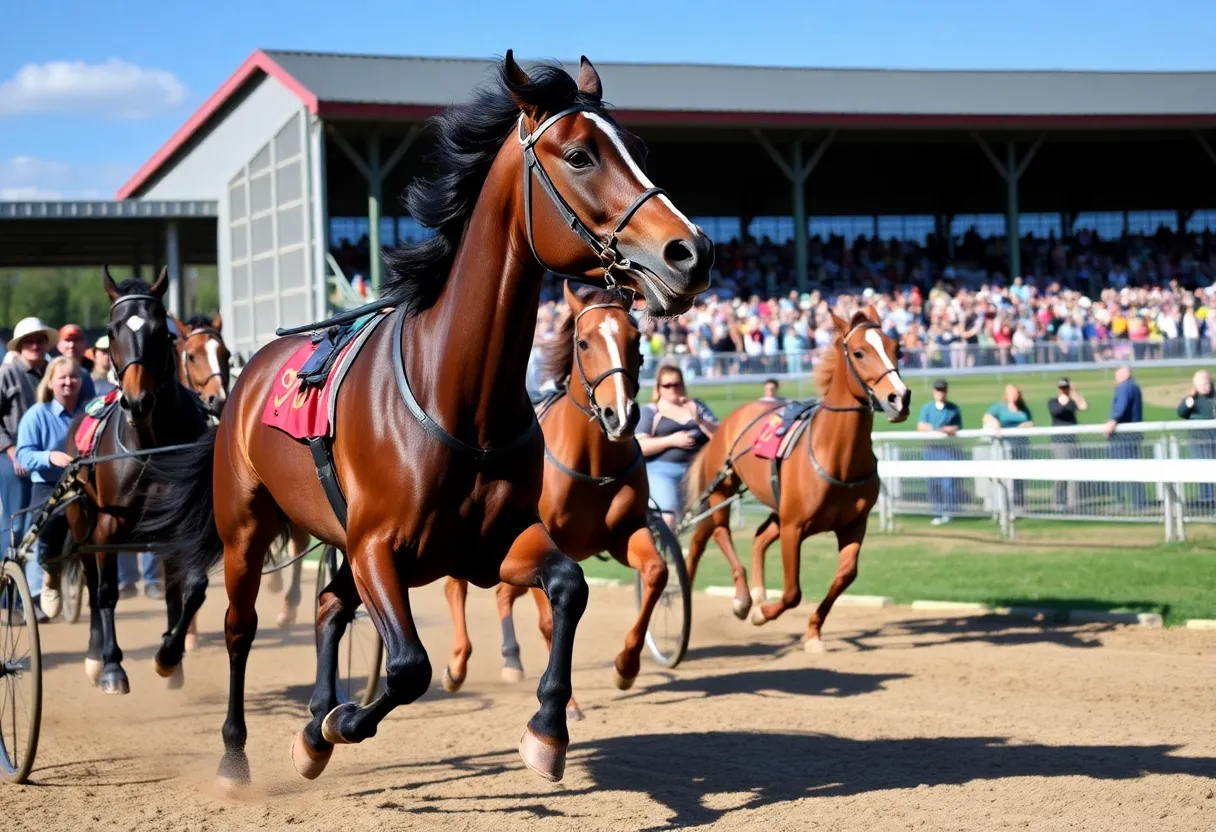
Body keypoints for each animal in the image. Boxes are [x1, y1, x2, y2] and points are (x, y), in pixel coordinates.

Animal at [53, 266, 211, 694]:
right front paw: (111, 666)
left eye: (161, 331)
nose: (137, 401)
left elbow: (191, 589)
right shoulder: (108, 525)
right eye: (112, 329)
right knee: (92, 582)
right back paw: (95, 657)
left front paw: (170, 656)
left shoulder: (183, 523)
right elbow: (106, 592)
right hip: (81, 521)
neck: (152, 445)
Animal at [442, 280, 668, 719]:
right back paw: (457, 665)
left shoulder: (627, 532)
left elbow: (656, 573)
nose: (621, 415)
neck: (595, 462)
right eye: (584, 342)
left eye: (635, 339)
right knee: (454, 589)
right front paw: (569, 704)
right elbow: (550, 620)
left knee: (502, 593)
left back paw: (512, 659)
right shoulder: (540, 540)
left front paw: (626, 665)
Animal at [681, 307, 910, 652]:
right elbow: (792, 593)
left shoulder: (853, 524)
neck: (836, 458)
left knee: (754, 536)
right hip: (722, 489)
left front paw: (813, 633)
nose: (900, 398)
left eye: (897, 348)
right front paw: (761, 613)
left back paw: (755, 592)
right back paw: (743, 598)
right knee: (720, 531)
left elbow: (845, 576)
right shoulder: (793, 527)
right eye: (859, 352)